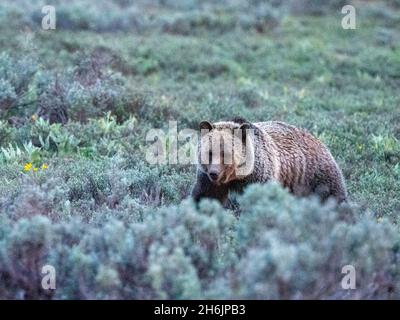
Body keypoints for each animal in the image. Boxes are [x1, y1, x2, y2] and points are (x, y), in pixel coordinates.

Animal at [191, 116, 346, 206]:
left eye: (226, 154)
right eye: (210, 152)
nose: (214, 173)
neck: (235, 178)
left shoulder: (257, 177)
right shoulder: (208, 180)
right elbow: (206, 196)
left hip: (315, 176)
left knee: (333, 195)